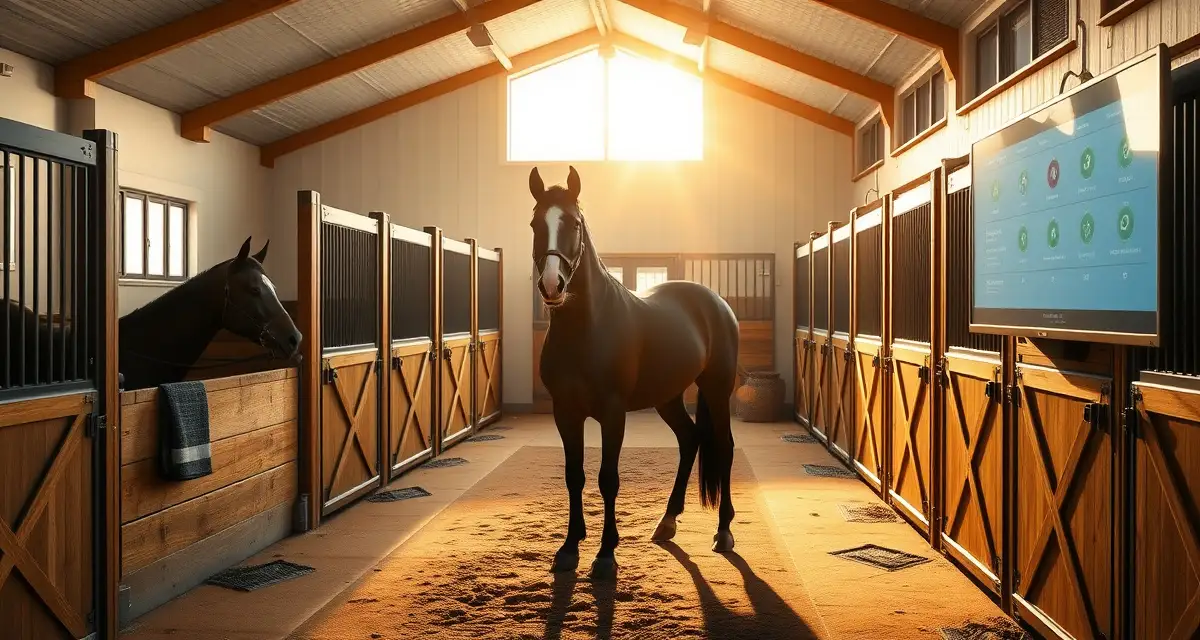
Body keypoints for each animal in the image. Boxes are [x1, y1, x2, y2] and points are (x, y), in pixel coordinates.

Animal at [529, 165, 741, 581]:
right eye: (534, 224)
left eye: (574, 223)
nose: (552, 286)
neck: (588, 329)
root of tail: (717, 302)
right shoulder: (565, 412)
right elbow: (574, 475)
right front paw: (569, 549)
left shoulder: (613, 413)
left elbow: (607, 479)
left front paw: (605, 556)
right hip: (668, 397)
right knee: (690, 439)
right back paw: (667, 522)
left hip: (717, 389)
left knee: (723, 447)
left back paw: (723, 532)